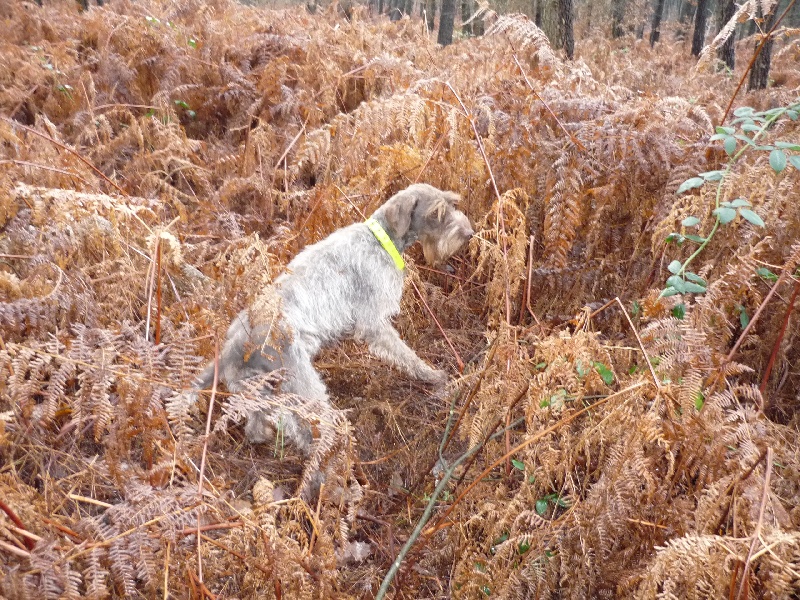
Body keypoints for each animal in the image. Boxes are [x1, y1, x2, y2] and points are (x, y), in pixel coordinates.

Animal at [198, 185, 476, 452]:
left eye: (452, 204)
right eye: (436, 213)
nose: (469, 233)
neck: (380, 239)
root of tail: (231, 349)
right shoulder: (374, 322)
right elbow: (406, 355)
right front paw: (431, 374)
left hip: (260, 391)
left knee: (258, 427)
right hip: (302, 387)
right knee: (307, 433)